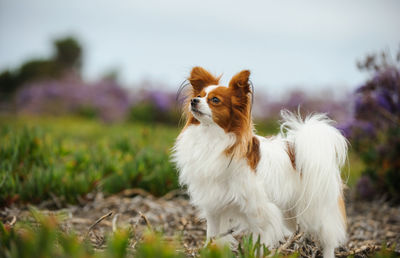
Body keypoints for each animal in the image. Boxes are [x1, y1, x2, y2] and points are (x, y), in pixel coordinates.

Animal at [172, 67, 346, 258]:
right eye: (200, 95)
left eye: (215, 100)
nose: (194, 101)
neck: (211, 136)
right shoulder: (214, 207)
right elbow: (212, 236)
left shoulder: (259, 210)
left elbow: (259, 241)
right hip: (290, 210)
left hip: (318, 209)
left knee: (328, 238)